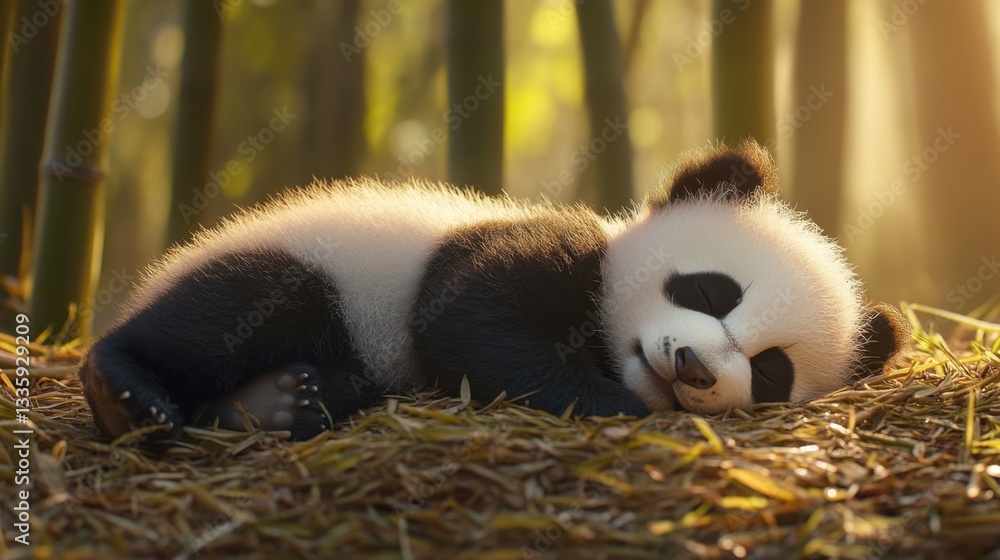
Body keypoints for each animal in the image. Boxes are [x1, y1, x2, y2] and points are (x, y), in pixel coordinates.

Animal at [77, 140, 908, 442]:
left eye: (771, 370)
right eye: (709, 292)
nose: (694, 368)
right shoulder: (524, 249)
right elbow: (472, 322)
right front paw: (615, 403)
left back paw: (277, 404)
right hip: (315, 261)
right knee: (234, 310)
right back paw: (127, 393)